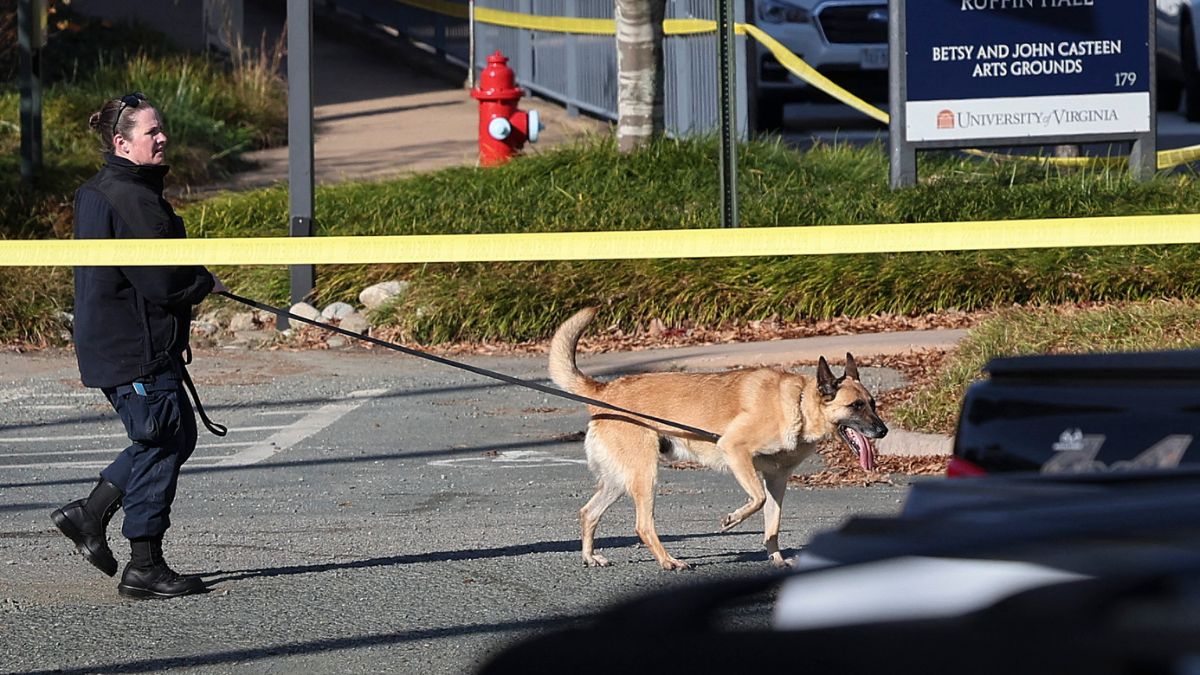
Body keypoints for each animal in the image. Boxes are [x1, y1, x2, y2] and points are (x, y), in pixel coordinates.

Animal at [549, 306, 888, 566]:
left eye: (872, 404)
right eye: (855, 406)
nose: (883, 431)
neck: (799, 405)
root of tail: (607, 390)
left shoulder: (777, 480)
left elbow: (773, 524)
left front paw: (777, 559)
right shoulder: (735, 450)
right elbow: (757, 499)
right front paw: (733, 519)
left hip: (621, 480)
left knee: (588, 512)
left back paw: (590, 556)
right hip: (645, 475)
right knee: (642, 525)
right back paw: (668, 561)